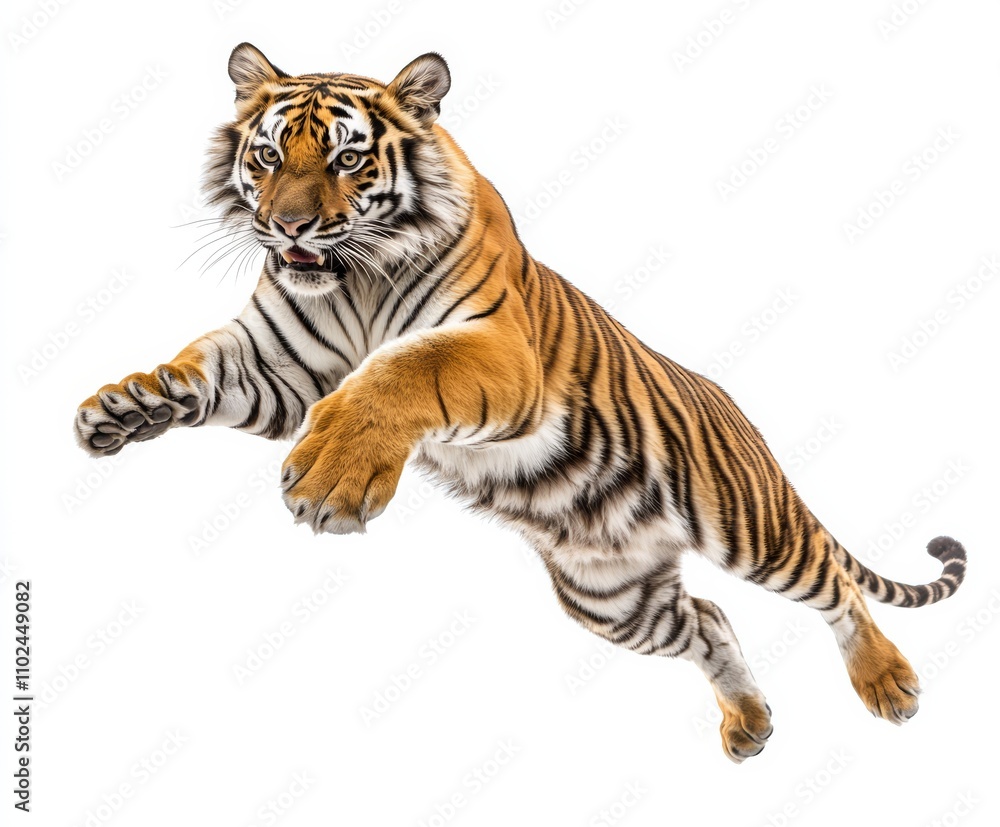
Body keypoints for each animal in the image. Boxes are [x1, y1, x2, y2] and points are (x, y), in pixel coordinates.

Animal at [74, 43, 967, 762]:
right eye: (266, 156)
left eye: (346, 161)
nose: (287, 226)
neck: (352, 278)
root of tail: (736, 407)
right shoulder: (280, 366)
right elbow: (197, 366)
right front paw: (121, 407)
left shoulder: (497, 350)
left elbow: (402, 370)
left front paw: (333, 478)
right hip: (612, 597)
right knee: (709, 616)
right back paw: (747, 723)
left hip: (752, 526)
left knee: (835, 584)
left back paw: (889, 684)